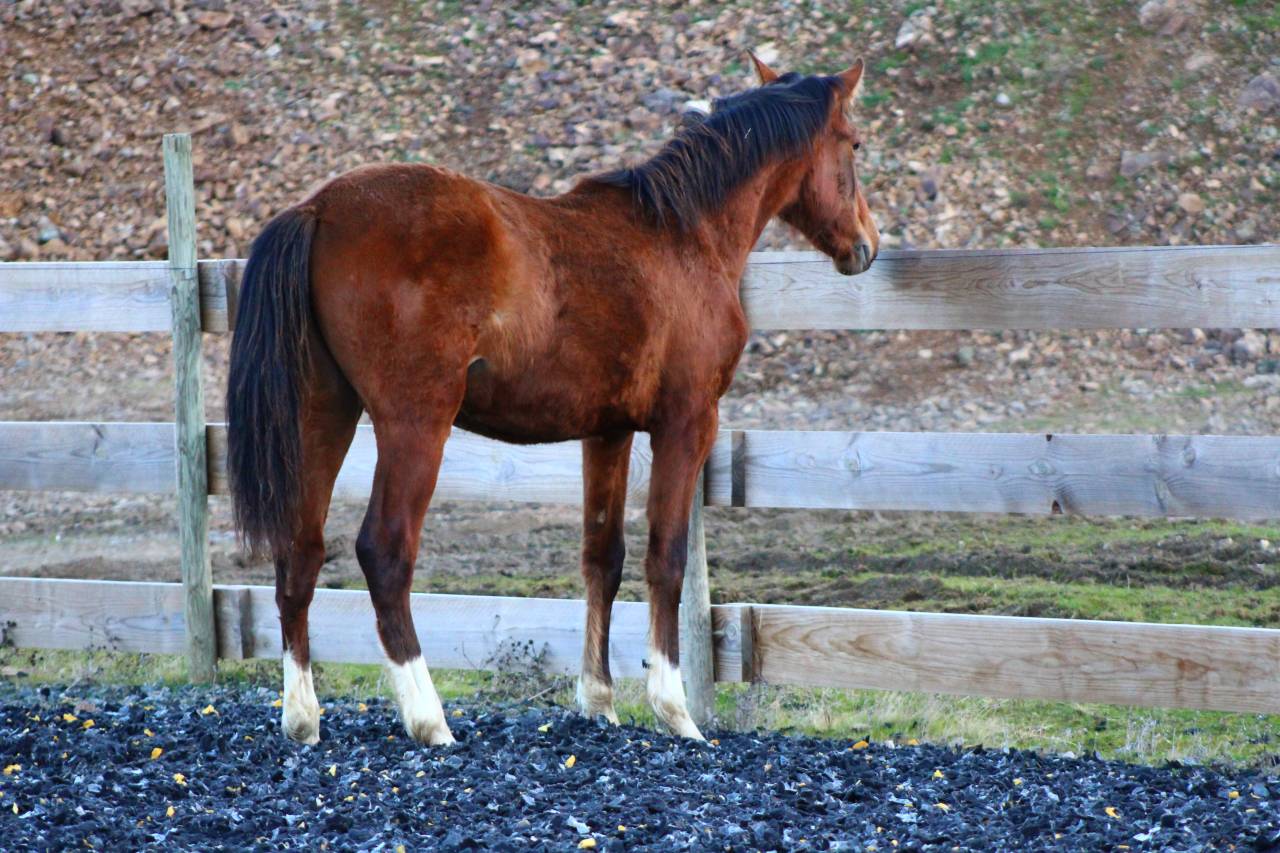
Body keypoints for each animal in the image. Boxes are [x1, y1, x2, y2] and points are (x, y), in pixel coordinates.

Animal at [225, 52, 880, 746]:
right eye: (853, 143)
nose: (867, 242)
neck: (683, 234)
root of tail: (320, 208)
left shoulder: (608, 431)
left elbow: (603, 559)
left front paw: (600, 701)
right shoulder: (687, 423)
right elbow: (666, 558)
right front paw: (674, 710)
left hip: (324, 414)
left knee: (300, 551)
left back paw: (303, 717)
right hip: (415, 423)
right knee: (385, 551)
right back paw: (430, 719)